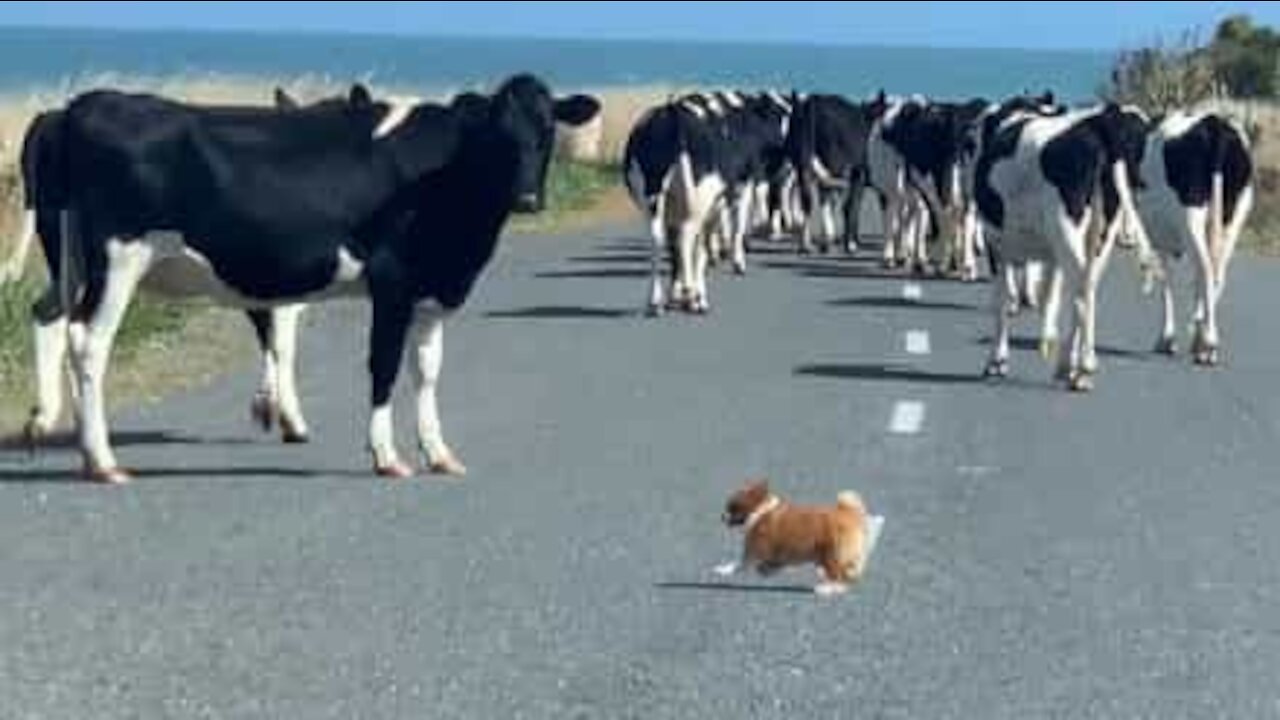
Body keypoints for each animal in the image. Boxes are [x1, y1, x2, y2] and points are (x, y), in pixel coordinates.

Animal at [42, 74, 596, 481]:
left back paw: (80, 446)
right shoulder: (393, 281)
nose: (527, 198)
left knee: (63, 331)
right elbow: (383, 366)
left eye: (547, 132)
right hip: (119, 259)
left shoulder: (432, 290)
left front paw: (438, 453)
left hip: (74, 265)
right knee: (90, 343)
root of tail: (86, 104)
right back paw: (103, 461)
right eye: (499, 136)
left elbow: (426, 371)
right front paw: (386, 456)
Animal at [716, 476, 885, 594]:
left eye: (732, 507)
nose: (722, 516)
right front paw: (767, 570)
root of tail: (849, 513)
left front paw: (724, 570)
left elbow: (740, 564)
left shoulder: (755, 550)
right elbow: (769, 564)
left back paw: (827, 589)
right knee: (847, 573)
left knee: (839, 576)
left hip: (831, 552)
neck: (761, 510)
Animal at [972, 102, 1157, 386]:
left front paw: (997, 361)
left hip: (1066, 226)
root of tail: (1098, 126)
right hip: (1101, 232)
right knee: (1088, 285)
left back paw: (1083, 367)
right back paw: (1069, 364)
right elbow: (1049, 295)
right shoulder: (1051, 254)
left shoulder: (995, 243)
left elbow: (1001, 299)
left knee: (1080, 289)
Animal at [1136, 112, 1254, 363]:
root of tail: (1214, 124)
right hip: (1233, 217)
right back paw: (1203, 340)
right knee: (1216, 273)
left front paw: (1166, 339)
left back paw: (1208, 343)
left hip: (1190, 214)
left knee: (1206, 269)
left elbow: (1166, 282)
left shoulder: (1159, 239)